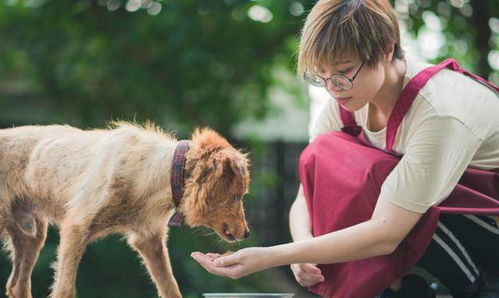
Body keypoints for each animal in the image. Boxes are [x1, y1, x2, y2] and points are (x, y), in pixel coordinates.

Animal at [0, 122, 252, 296]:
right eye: (237, 196)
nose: (247, 233)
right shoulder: (76, 228)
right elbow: (64, 289)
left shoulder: (149, 240)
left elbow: (170, 287)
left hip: (32, 236)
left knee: (16, 286)